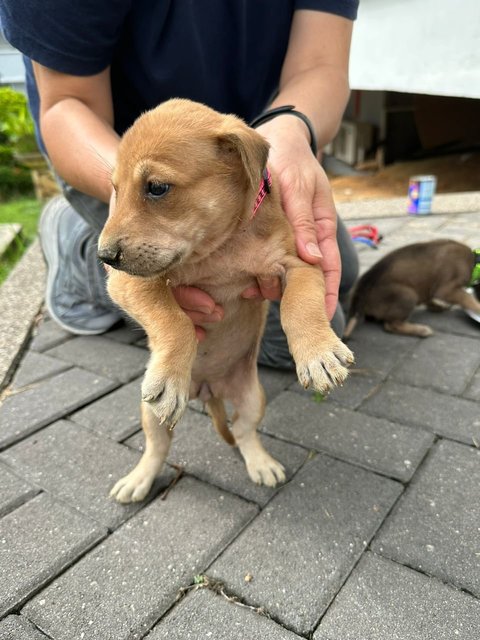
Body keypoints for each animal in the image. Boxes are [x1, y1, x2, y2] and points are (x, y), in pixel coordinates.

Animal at [98, 97, 352, 502]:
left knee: (244, 431)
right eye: (115, 190)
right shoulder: (130, 283)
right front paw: (171, 373)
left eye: (157, 188)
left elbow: (299, 305)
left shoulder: (301, 265)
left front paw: (318, 354)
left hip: (252, 398)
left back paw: (261, 464)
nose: (103, 257)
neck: (221, 246)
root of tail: (208, 390)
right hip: (150, 412)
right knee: (157, 446)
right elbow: (175, 320)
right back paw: (138, 479)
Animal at [344, 238, 480, 338]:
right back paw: (421, 330)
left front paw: (436, 306)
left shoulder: (428, 288)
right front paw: (478, 308)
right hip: (408, 295)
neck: (475, 262)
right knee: (390, 325)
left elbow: (429, 298)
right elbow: (467, 298)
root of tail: (362, 287)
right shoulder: (446, 289)